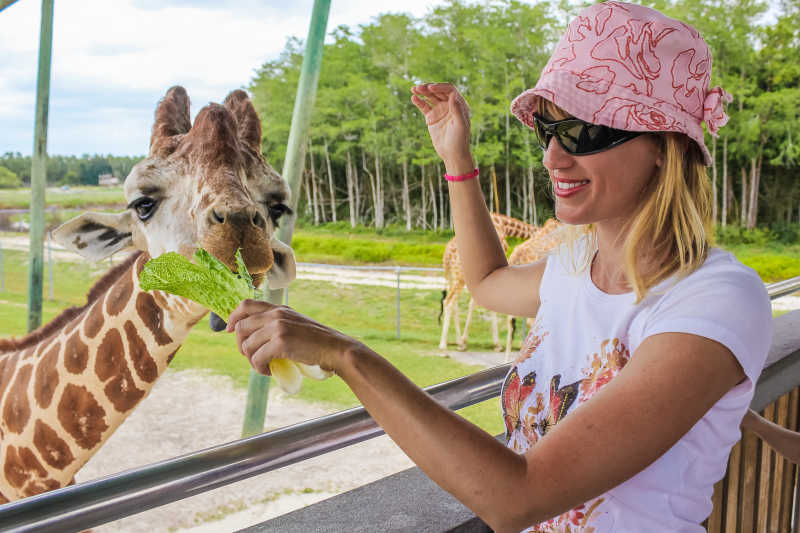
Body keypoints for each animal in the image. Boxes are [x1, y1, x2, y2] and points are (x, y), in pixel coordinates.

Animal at [440, 212, 540, 354]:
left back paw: (457, 342)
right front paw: (497, 345)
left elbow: (475, 303)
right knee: (449, 301)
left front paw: (464, 342)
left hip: (452, 276)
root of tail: (446, 256)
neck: (504, 225)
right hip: (460, 276)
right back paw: (444, 347)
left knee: (453, 303)